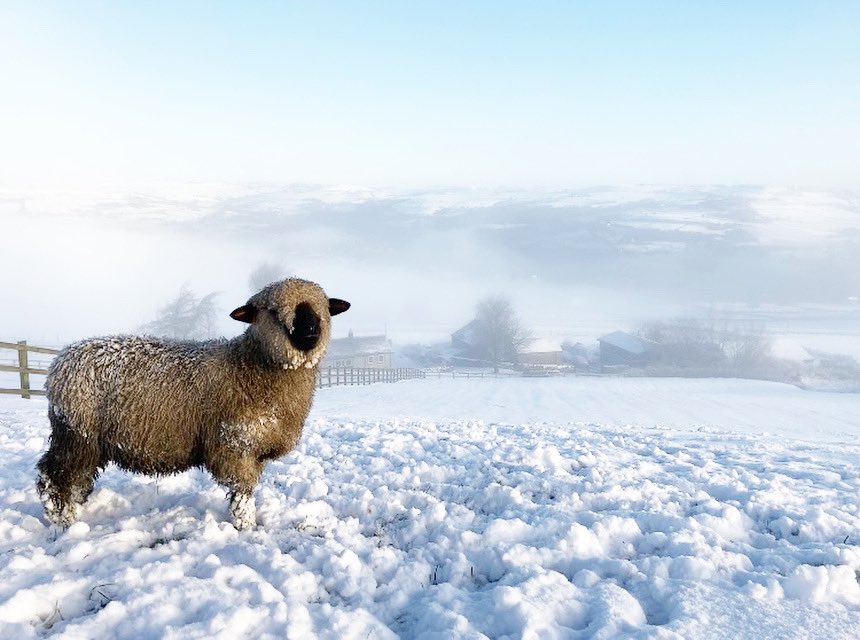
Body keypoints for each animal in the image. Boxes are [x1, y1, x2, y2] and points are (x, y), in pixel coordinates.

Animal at [36, 278, 350, 530]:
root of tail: (58, 364)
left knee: (79, 477)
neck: (251, 366)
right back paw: (62, 519)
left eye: (323, 306)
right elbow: (242, 494)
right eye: (272, 310)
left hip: (90, 441)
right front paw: (245, 526)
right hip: (75, 433)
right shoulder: (233, 444)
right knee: (53, 474)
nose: (310, 331)